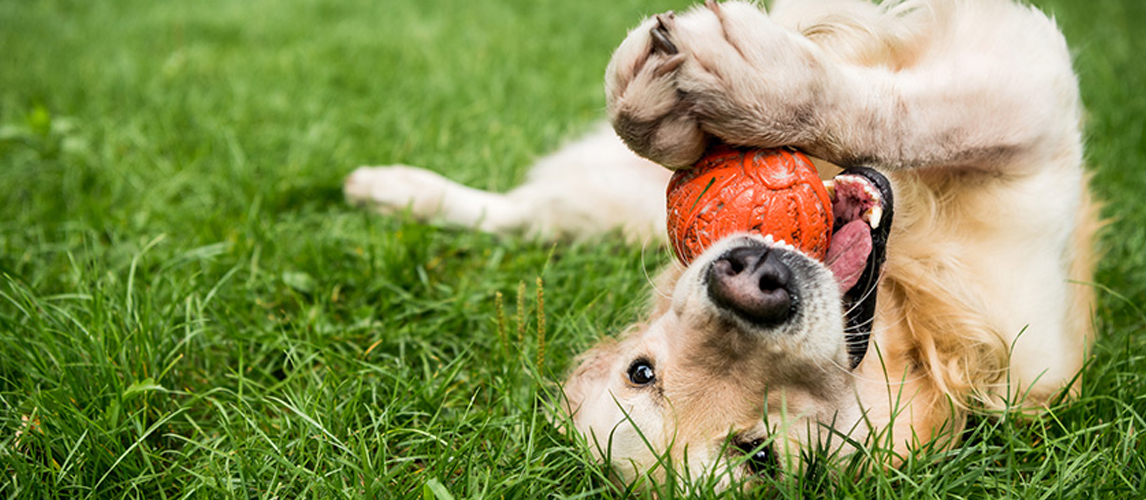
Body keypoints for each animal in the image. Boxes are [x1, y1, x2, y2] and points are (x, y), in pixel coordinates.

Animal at [341, 0, 1100, 490]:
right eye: (643, 371)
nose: (751, 278)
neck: (907, 314)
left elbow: (909, 109)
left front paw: (743, 85)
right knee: (528, 212)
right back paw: (392, 190)